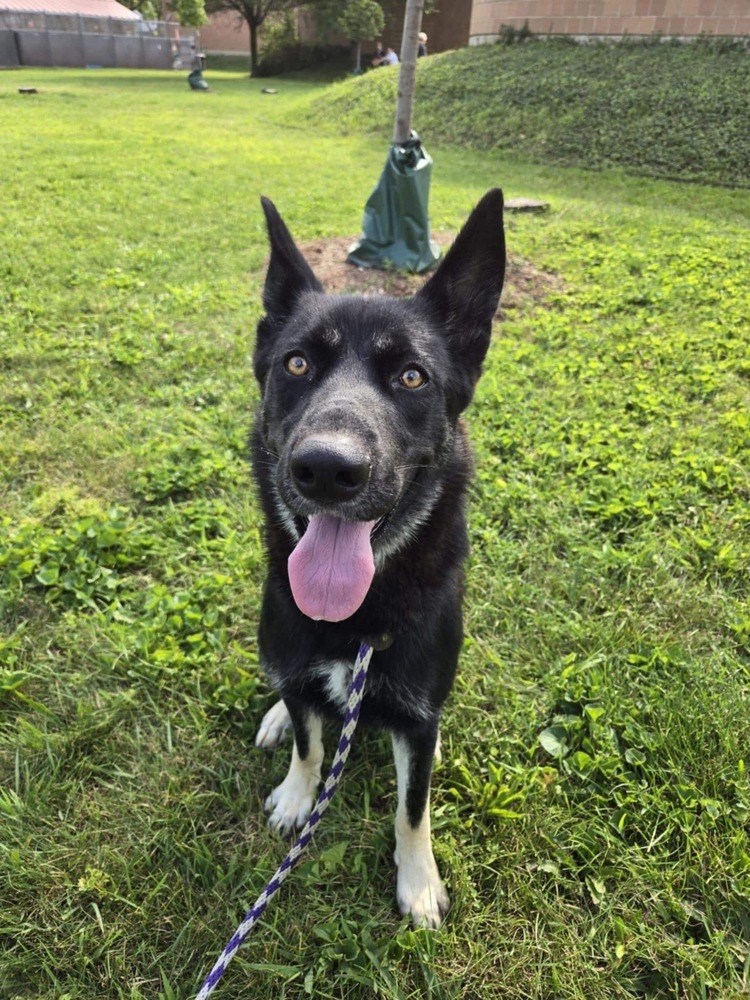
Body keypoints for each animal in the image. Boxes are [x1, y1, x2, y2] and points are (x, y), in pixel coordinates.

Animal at [251, 189, 506, 928]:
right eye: (296, 364)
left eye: (412, 377)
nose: (327, 469)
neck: (358, 616)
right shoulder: (298, 663)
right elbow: (311, 744)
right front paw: (298, 793)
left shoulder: (416, 715)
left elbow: (412, 808)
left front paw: (417, 880)